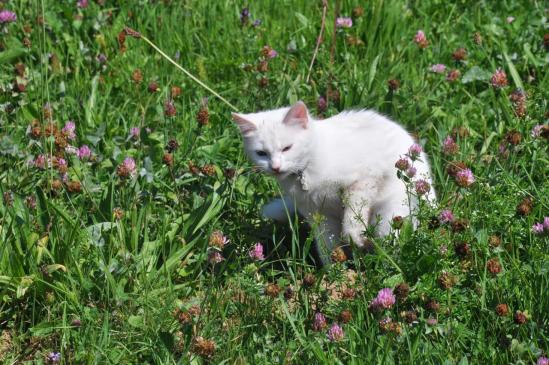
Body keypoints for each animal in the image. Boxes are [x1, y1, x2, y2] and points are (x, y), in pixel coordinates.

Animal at [233, 101, 434, 264]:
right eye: (261, 153)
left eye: (287, 148)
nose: (275, 167)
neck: (305, 171)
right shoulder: (318, 214)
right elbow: (327, 244)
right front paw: (334, 273)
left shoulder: (364, 180)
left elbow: (352, 219)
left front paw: (355, 239)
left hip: (390, 216)